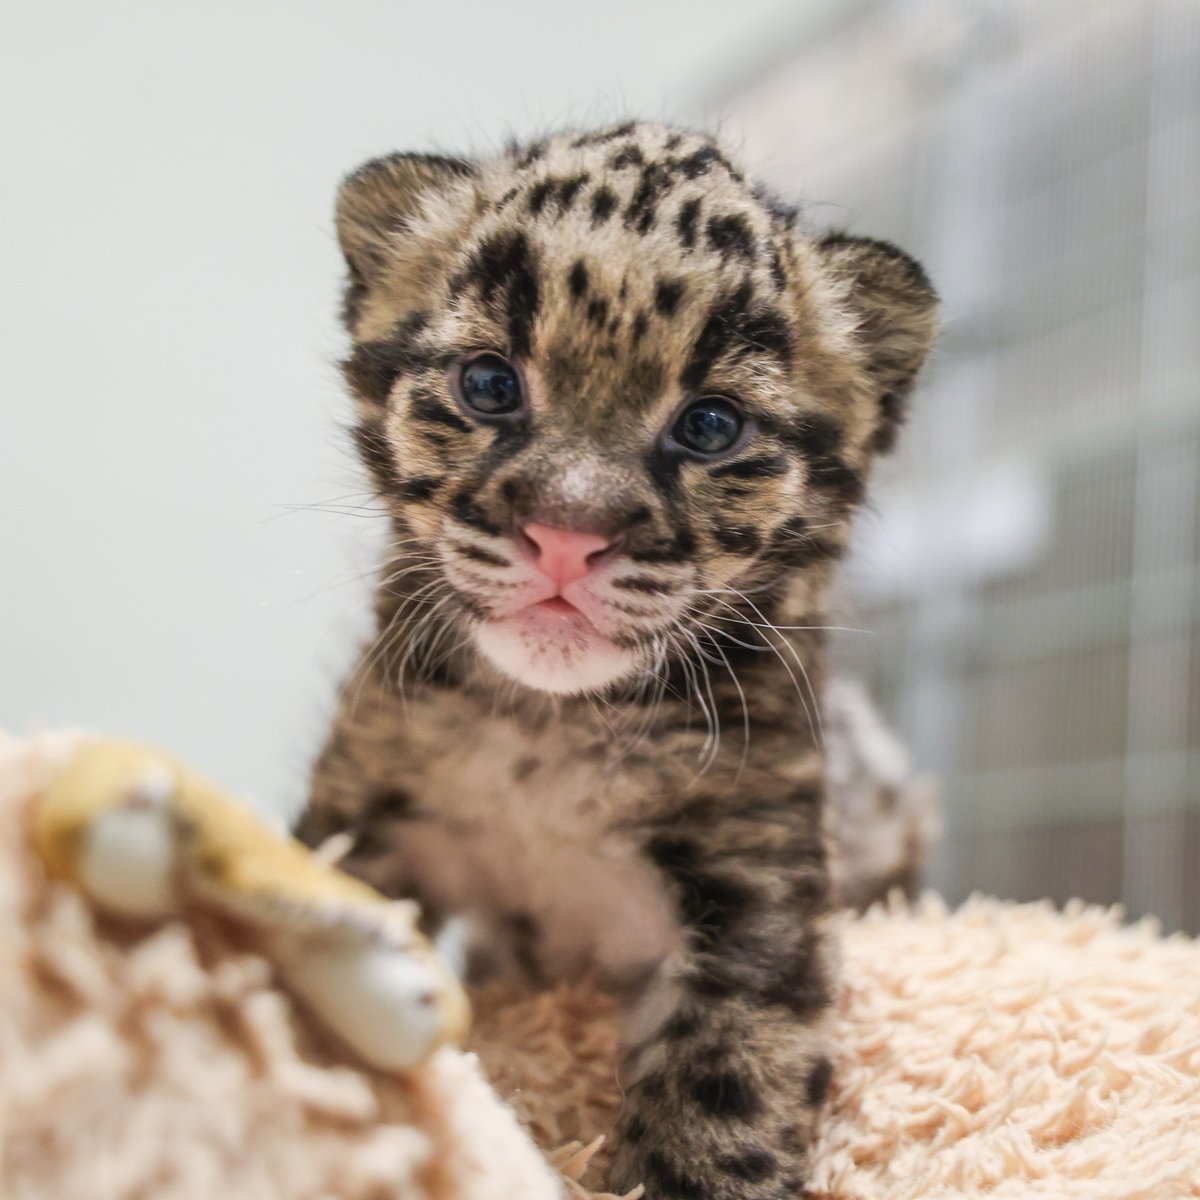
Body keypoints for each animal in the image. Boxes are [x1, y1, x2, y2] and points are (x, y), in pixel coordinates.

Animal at [296, 120, 938, 1199]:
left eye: (711, 425)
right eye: (489, 384)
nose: (568, 533)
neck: (546, 727)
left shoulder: (753, 885)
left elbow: (729, 1088)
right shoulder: (365, 808)